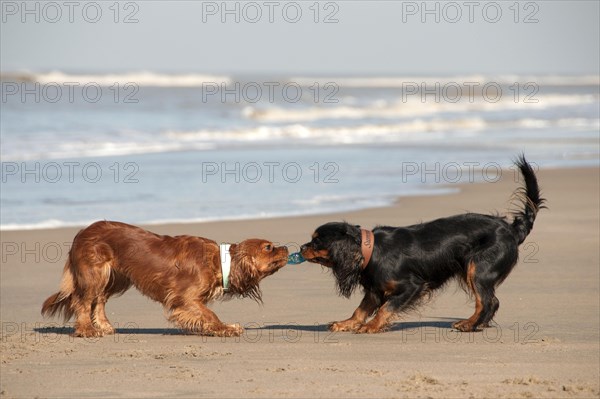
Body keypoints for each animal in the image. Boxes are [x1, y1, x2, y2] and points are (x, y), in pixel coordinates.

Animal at [40, 222, 288, 338]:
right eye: (268, 247)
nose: (286, 247)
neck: (220, 261)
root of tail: (81, 233)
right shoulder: (184, 298)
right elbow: (210, 314)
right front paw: (224, 328)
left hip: (116, 278)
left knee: (98, 301)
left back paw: (104, 326)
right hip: (95, 275)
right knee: (82, 301)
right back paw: (87, 330)